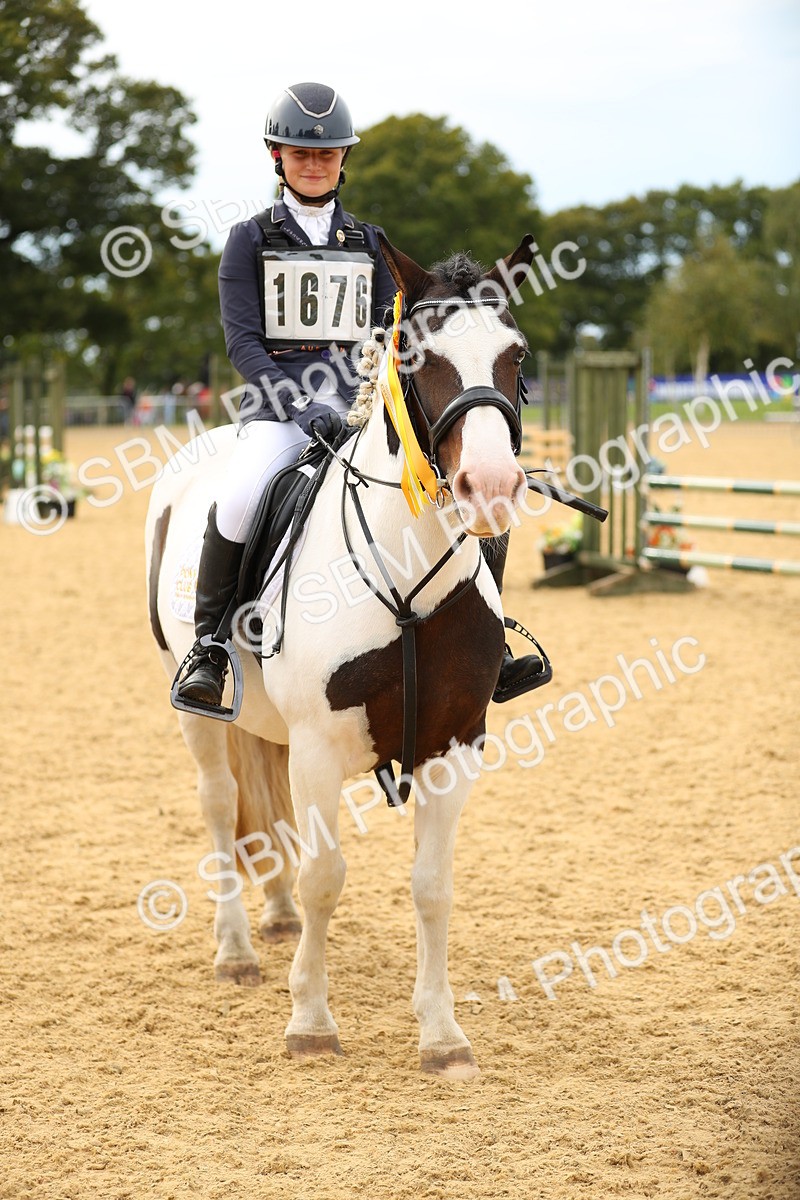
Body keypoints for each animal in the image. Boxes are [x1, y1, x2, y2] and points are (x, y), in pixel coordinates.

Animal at [145, 234, 537, 1079]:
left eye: (515, 353)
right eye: (419, 355)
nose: (490, 485)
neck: (406, 572)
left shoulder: (454, 745)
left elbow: (432, 886)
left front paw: (443, 1035)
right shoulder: (322, 747)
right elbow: (327, 876)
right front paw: (311, 1023)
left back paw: (276, 916)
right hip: (192, 707)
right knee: (221, 802)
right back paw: (235, 949)